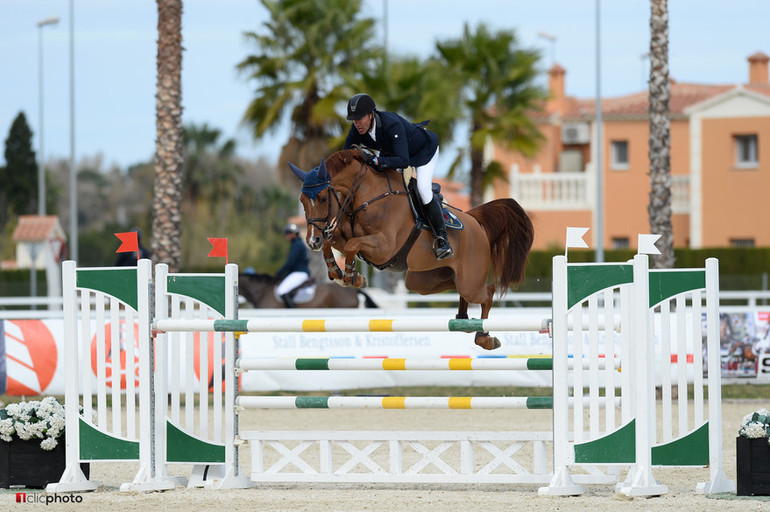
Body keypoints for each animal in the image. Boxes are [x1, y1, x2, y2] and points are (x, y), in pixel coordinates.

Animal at [290, 148, 536, 348]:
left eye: (323, 198)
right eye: (301, 200)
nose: (311, 241)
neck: (365, 196)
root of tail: (474, 220)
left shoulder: (384, 246)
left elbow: (352, 245)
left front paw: (351, 276)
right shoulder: (342, 236)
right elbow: (332, 243)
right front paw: (338, 272)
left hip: (469, 279)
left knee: (488, 292)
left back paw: (484, 337)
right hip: (424, 281)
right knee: (458, 288)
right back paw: (462, 317)